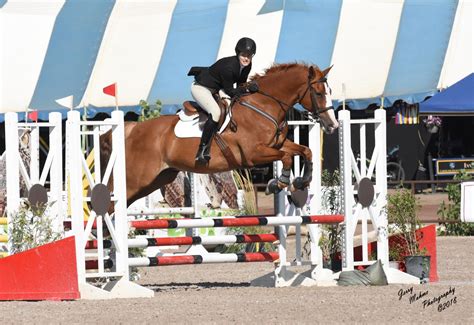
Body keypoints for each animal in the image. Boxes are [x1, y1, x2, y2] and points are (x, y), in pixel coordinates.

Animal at [102, 63, 338, 205]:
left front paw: (302, 181)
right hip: (136, 180)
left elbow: (305, 151)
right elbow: (287, 157)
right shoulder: (253, 154)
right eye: (318, 93)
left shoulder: (277, 145)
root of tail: (133, 129)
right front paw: (278, 183)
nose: (332, 125)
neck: (263, 106)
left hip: (157, 179)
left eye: (330, 92)